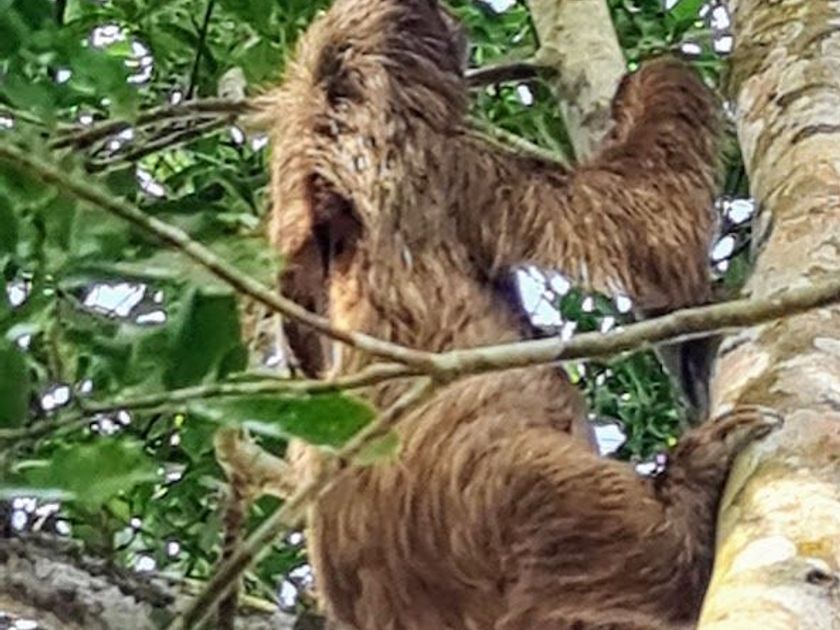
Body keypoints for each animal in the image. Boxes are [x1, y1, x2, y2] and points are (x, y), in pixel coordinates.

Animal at [259, 0, 778, 627]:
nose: (457, 28)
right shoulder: (456, 167)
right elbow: (642, 222)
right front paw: (661, 74)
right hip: (515, 491)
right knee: (621, 539)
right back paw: (694, 481)